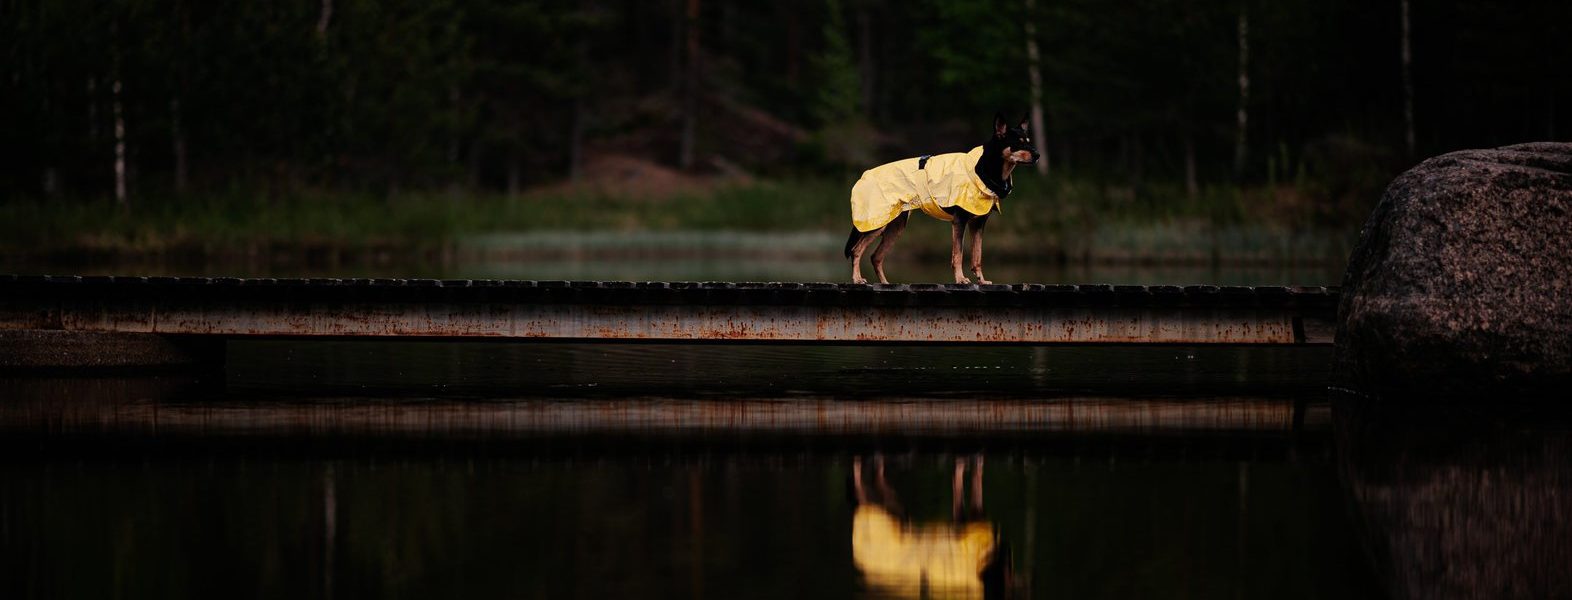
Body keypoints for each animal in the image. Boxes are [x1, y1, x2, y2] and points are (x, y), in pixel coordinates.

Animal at [842, 116, 1037, 285]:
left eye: (1028, 140)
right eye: (1019, 142)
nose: (1038, 155)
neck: (983, 170)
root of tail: (863, 177)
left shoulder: (978, 224)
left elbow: (977, 256)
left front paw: (981, 281)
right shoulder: (960, 221)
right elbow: (958, 255)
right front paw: (961, 279)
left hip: (895, 227)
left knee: (875, 257)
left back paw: (885, 283)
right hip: (876, 223)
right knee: (856, 250)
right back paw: (857, 279)